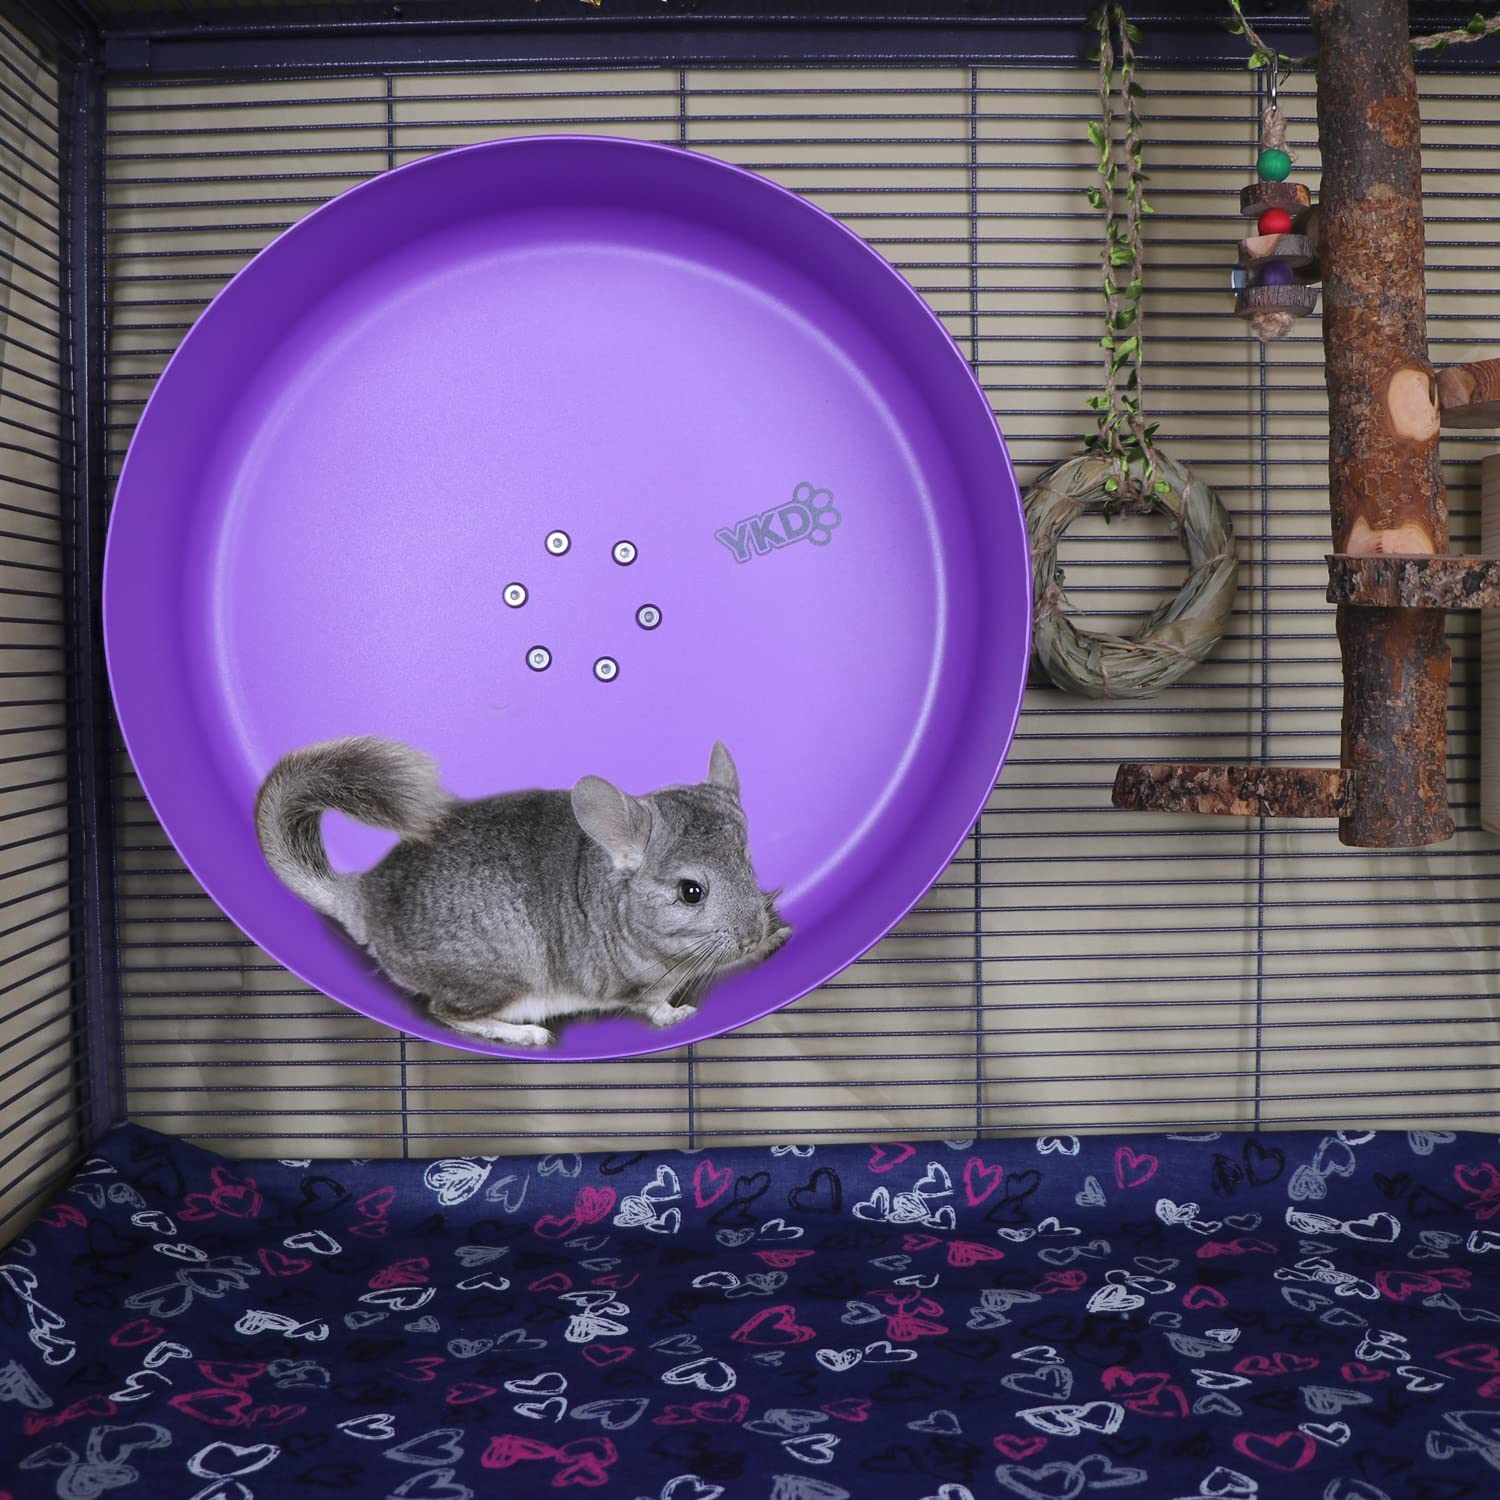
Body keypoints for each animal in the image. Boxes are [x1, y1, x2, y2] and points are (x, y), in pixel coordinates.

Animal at [254, 736, 791, 1047]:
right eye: (691, 891)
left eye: (747, 859)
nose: (749, 933)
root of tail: (363, 896)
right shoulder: (631, 985)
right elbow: (652, 1006)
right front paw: (679, 1016)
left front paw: (776, 938)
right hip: (501, 977)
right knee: (444, 1011)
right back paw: (529, 1035)